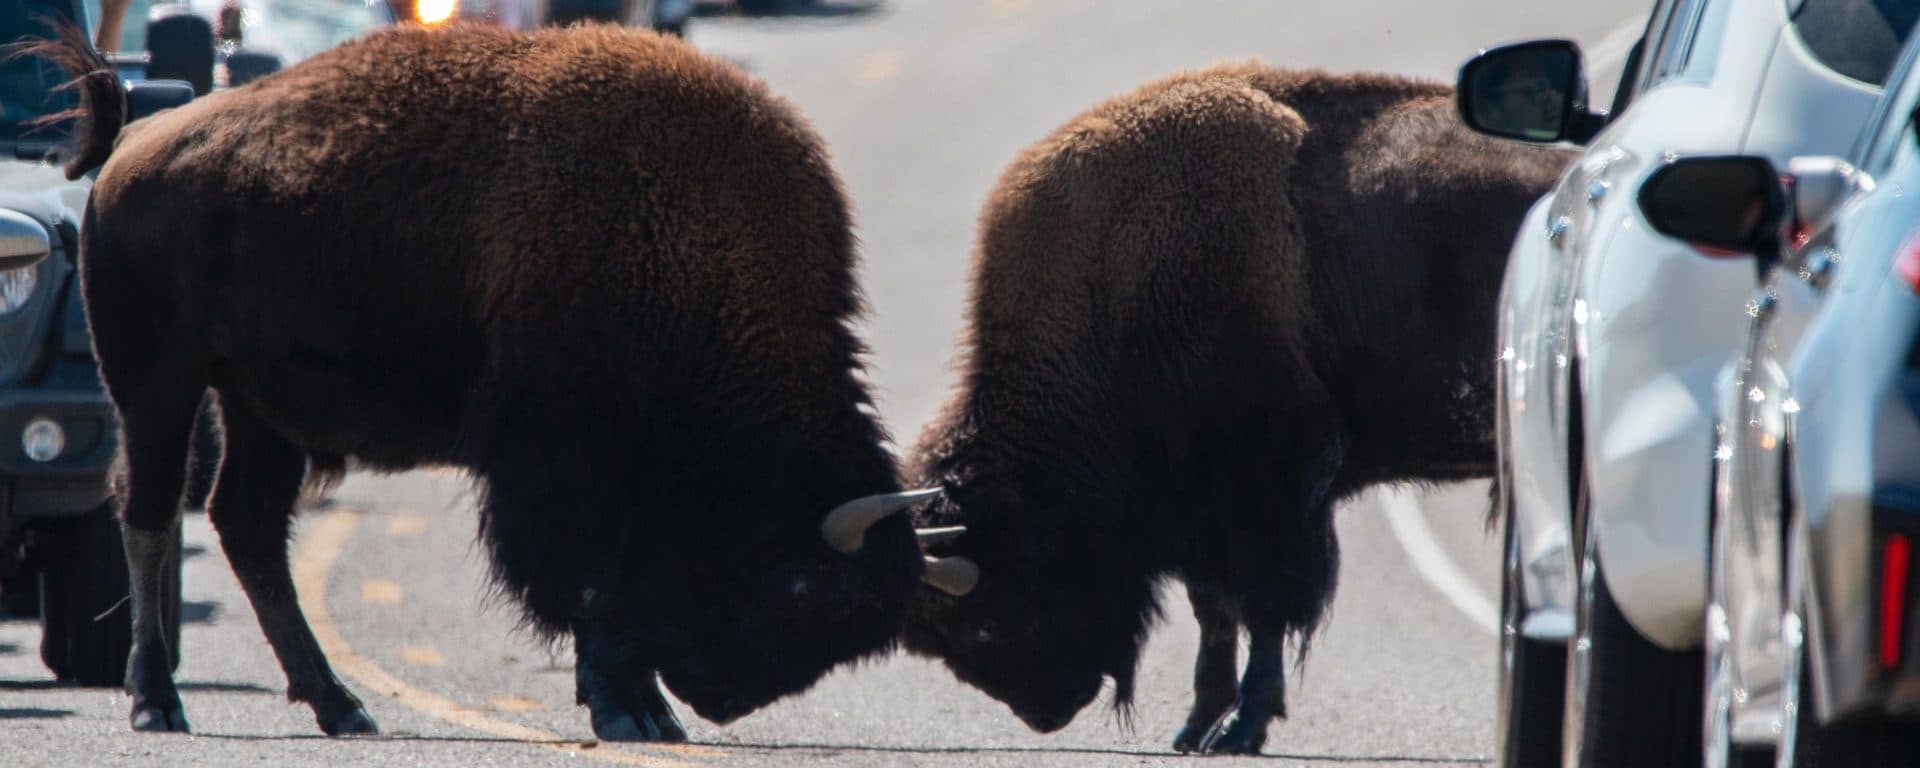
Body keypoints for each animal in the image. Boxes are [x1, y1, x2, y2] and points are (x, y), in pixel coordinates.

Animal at [18, 21, 966, 740]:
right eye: (804, 587)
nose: (720, 700)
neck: (694, 250)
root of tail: (134, 142)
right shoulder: (561, 464)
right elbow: (590, 583)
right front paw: (628, 711)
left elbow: (614, 588)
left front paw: (649, 711)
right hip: (156, 385)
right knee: (148, 512)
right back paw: (157, 702)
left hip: (258, 409)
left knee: (246, 527)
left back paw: (340, 706)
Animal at [900, 63, 1573, 754]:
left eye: (985, 616)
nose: (1044, 710)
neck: (1111, 284)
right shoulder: (1201, 509)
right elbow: (1216, 610)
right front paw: (1197, 725)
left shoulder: (1270, 487)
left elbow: (1266, 608)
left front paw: (1241, 726)